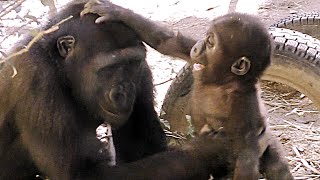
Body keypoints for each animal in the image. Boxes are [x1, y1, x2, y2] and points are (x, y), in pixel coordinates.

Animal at [83, 0, 296, 179]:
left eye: (211, 42)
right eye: (205, 38)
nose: (198, 47)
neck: (224, 82)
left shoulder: (246, 109)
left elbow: (246, 159)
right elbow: (169, 42)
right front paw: (114, 11)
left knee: (276, 165)